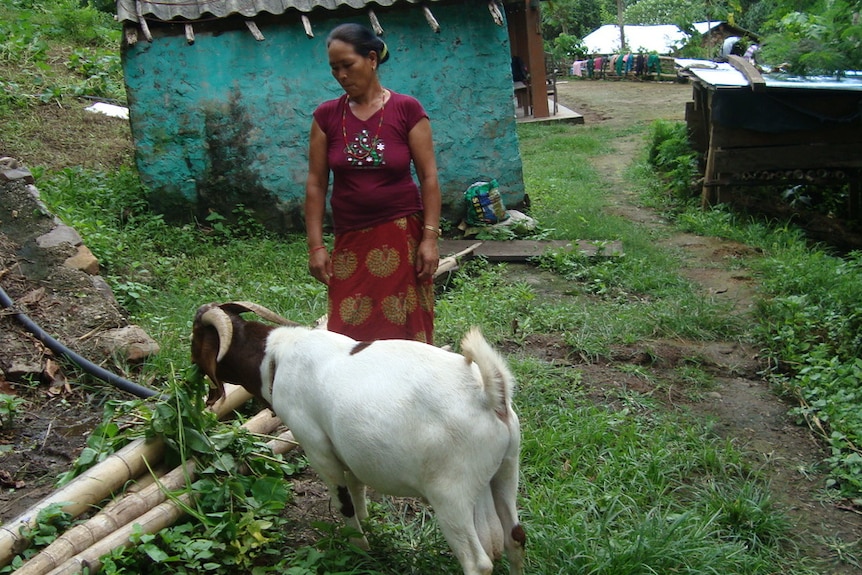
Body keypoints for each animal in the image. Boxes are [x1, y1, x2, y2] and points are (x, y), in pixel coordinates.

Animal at [192, 302, 528, 575]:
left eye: (195, 336)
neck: (277, 357)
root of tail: (488, 396)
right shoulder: (349, 449)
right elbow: (356, 487)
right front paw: (368, 528)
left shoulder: (317, 447)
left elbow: (344, 502)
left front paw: (359, 547)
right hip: (506, 470)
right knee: (515, 538)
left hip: (450, 494)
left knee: (478, 562)